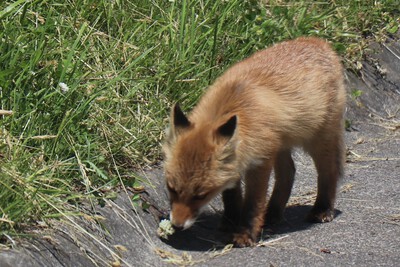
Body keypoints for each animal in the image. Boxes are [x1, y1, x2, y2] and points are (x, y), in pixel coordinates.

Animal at [161, 37, 346, 247]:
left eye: (200, 195)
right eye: (172, 188)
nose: (177, 225)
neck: (234, 106)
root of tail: (319, 41)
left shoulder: (260, 160)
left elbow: (253, 203)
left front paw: (245, 233)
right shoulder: (237, 160)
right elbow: (231, 195)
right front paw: (230, 220)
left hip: (319, 140)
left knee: (329, 172)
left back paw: (322, 210)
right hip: (280, 145)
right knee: (288, 173)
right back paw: (272, 214)